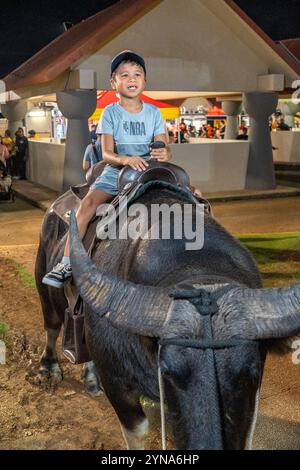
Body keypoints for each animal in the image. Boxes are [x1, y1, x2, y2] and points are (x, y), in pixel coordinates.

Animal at [35, 182, 300, 450]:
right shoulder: (117, 384)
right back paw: (48, 367)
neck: (197, 267)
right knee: (52, 326)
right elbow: (137, 431)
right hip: (44, 285)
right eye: (169, 372)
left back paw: (90, 378)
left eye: (251, 373)